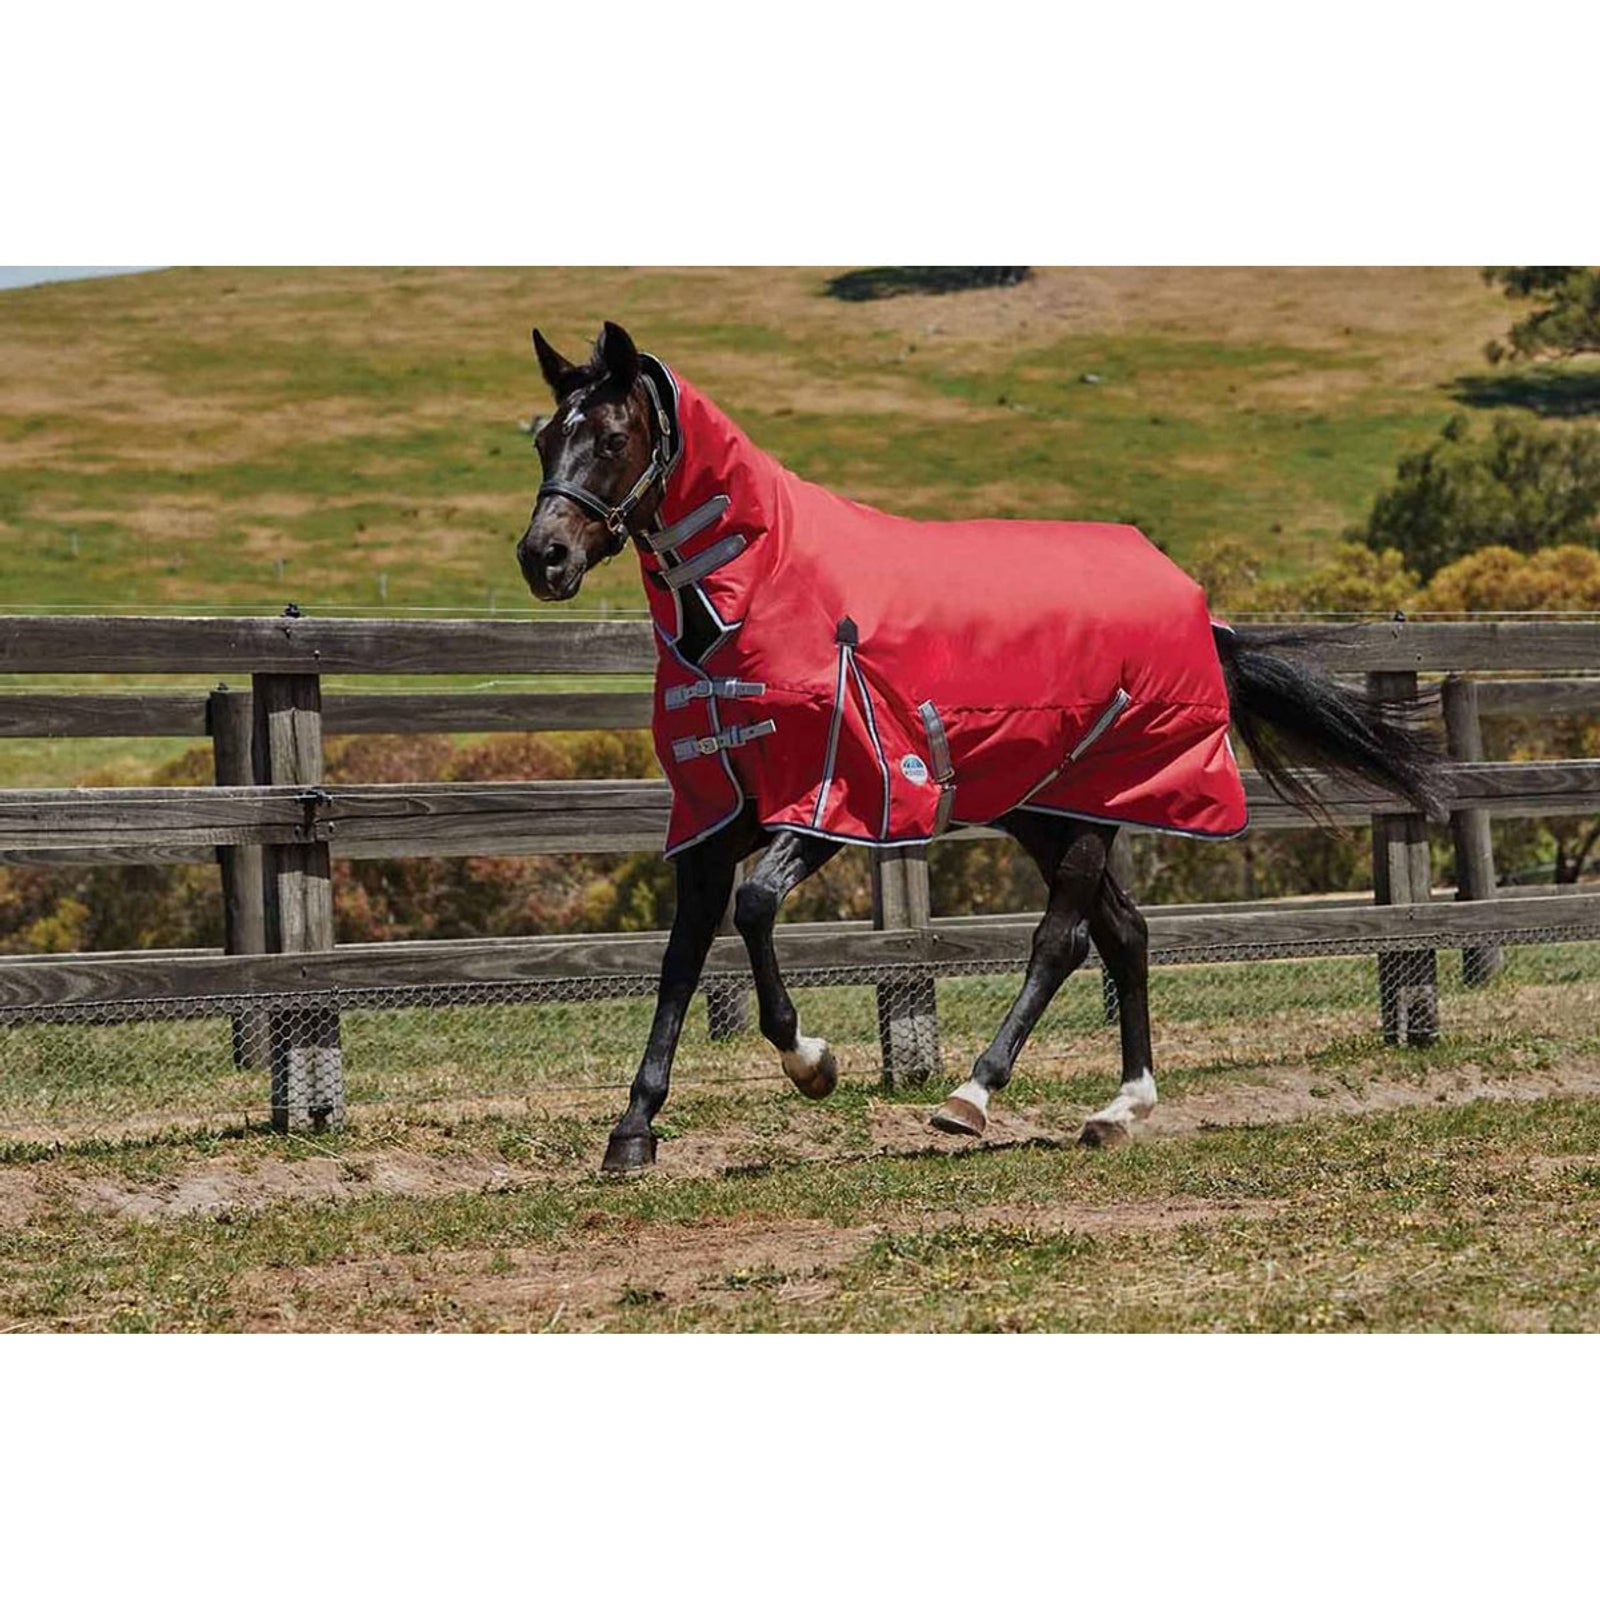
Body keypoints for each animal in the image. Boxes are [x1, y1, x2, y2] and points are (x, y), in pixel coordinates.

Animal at [516, 321, 1448, 1174]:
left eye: (611, 438)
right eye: (544, 438)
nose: (543, 556)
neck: (756, 602)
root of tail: (1200, 612)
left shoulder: (839, 804)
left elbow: (753, 909)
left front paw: (812, 1063)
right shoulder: (713, 823)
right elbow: (680, 958)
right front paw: (633, 1131)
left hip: (1092, 810)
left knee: (1065, 942)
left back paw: (972, 1095)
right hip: (1045, 810)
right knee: (1127, 933)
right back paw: (1120, 1108)